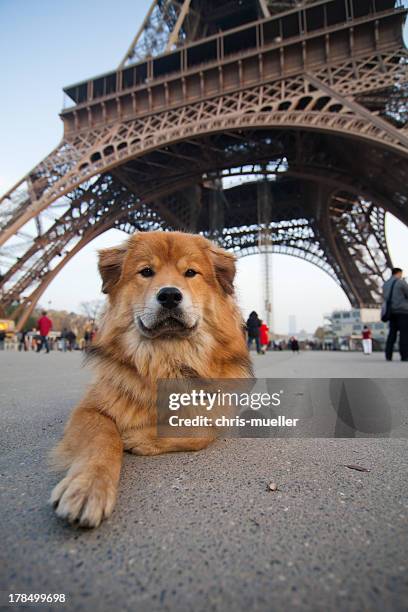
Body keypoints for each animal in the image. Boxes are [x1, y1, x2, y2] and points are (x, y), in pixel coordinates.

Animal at [49, 230, 250, 524]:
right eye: (146, 271)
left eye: (191, 272)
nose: (169, 295)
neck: (166, 358)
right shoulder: (89, 409)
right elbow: (103, 439)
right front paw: (88, 486)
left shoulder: (220, 411)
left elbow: (201, 431)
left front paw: (136, 437)